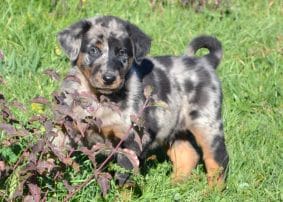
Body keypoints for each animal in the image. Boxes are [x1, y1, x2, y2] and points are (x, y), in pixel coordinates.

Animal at [56, 15, 230, 189]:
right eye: (93, 50)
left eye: (122, 53)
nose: (109, 78)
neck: (100, 99)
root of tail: (205, 62)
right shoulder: (68, 127)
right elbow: (57, 152)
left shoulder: (133, 139)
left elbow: (124, 178)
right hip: (172, 126)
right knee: (187, 155)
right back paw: (174, 186)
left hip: (207, 123)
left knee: (218, 160)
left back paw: (212, 191)